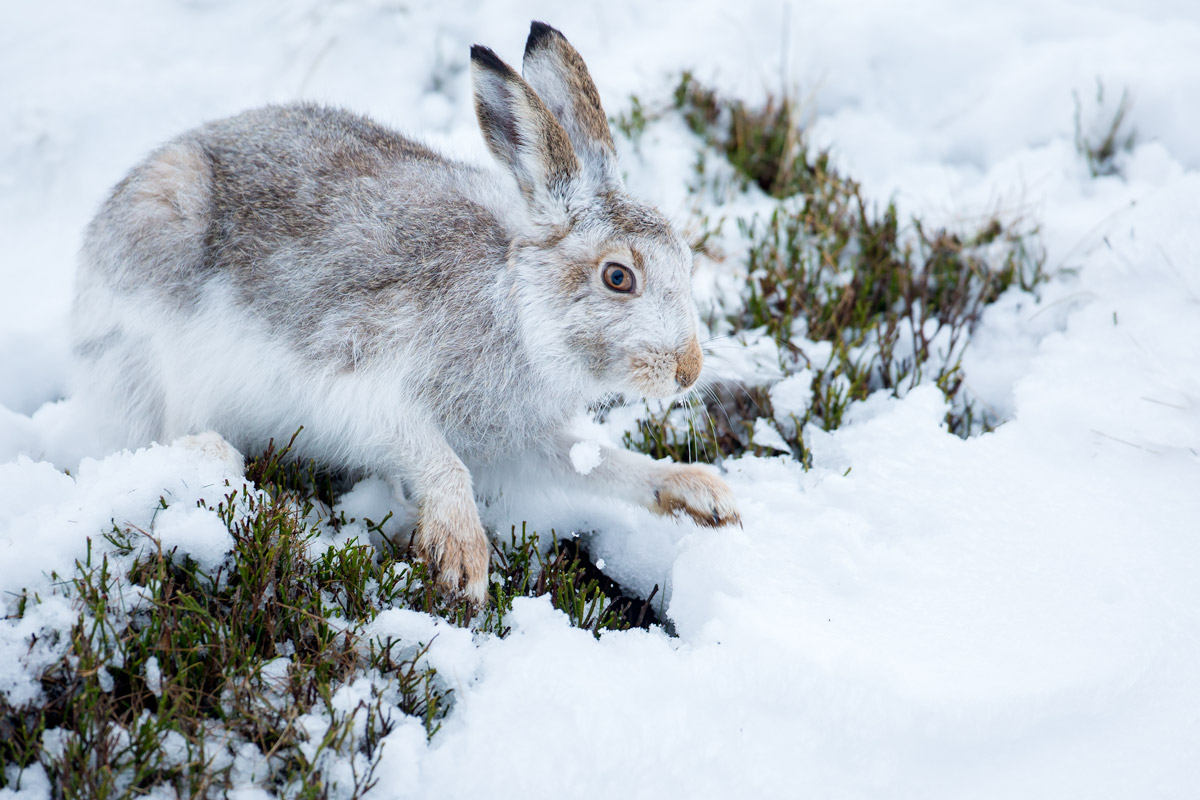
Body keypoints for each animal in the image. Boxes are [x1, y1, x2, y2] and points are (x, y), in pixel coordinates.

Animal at [71, 21, 740, 604]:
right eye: (618, 277)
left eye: (686, 259)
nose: (688, 370)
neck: (518, 311)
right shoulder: (356, 380)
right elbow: (435, 459)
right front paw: (462, 559)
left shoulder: (512, 438)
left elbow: (596, 462)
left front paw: (701, 495)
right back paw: (209, 455)